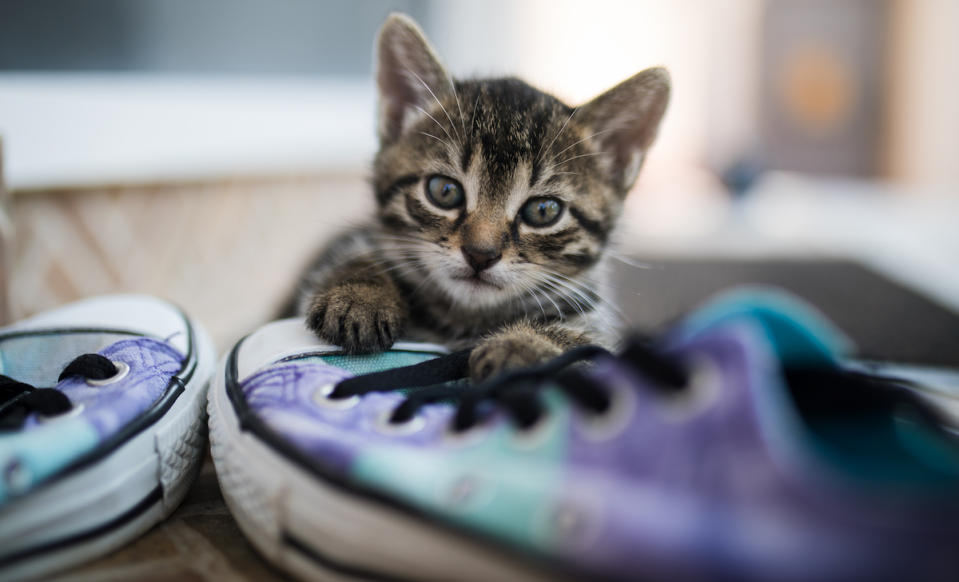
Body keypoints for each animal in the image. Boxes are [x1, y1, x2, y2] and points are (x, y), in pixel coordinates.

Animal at [296, 13, 672, 380]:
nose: (480, 254)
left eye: (543, 211)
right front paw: (359, 294)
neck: (464, 321)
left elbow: (585, 346)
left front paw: (521, 345)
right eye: (444, 191)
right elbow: (362, 252)